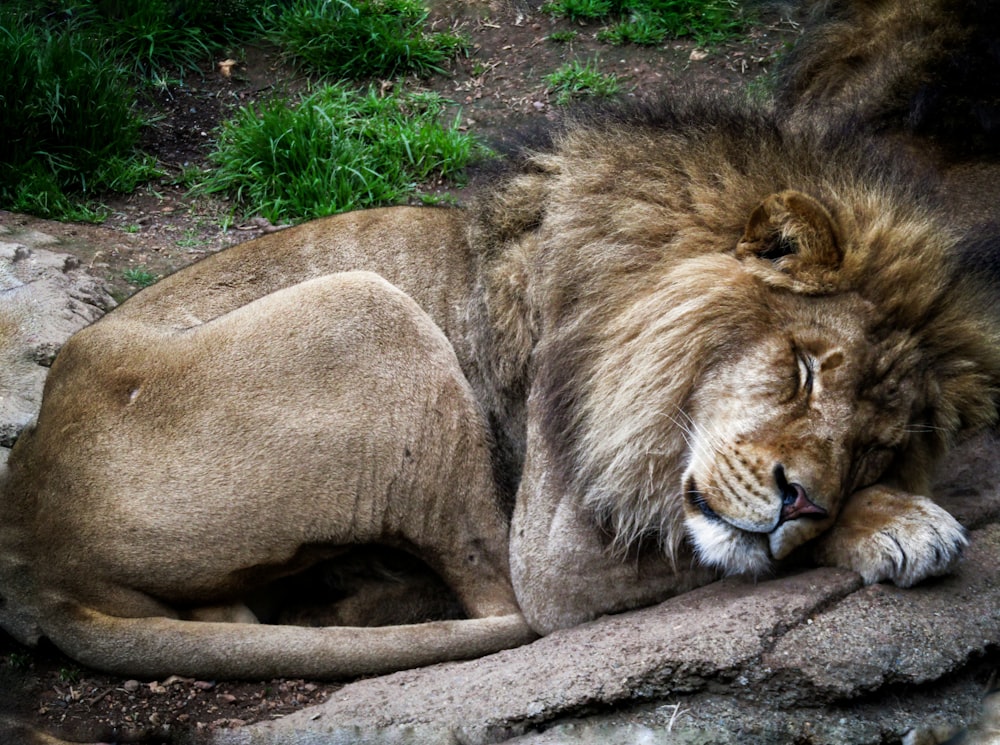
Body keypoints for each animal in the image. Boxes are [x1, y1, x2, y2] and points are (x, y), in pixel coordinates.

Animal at [1, 94, 1000, 680]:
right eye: (802, 366)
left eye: (876, 443)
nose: (802, 499)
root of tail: (38, 548)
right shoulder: (557, 549)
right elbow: (708, 549)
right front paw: (904, 524)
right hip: (373, 311)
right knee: (495, 601)